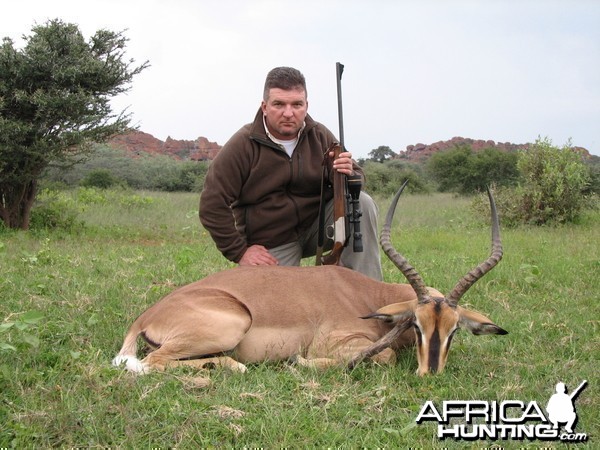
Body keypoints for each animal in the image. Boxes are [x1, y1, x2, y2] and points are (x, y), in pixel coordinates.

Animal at [112, 183, 506, 376]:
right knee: (151, 363)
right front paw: (299, 363)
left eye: (453, 330)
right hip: (228, 328)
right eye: (417, 324)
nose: (431, 373)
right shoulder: (335, 343)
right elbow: (385, 357)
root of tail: (145, 317)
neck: (369, 297)